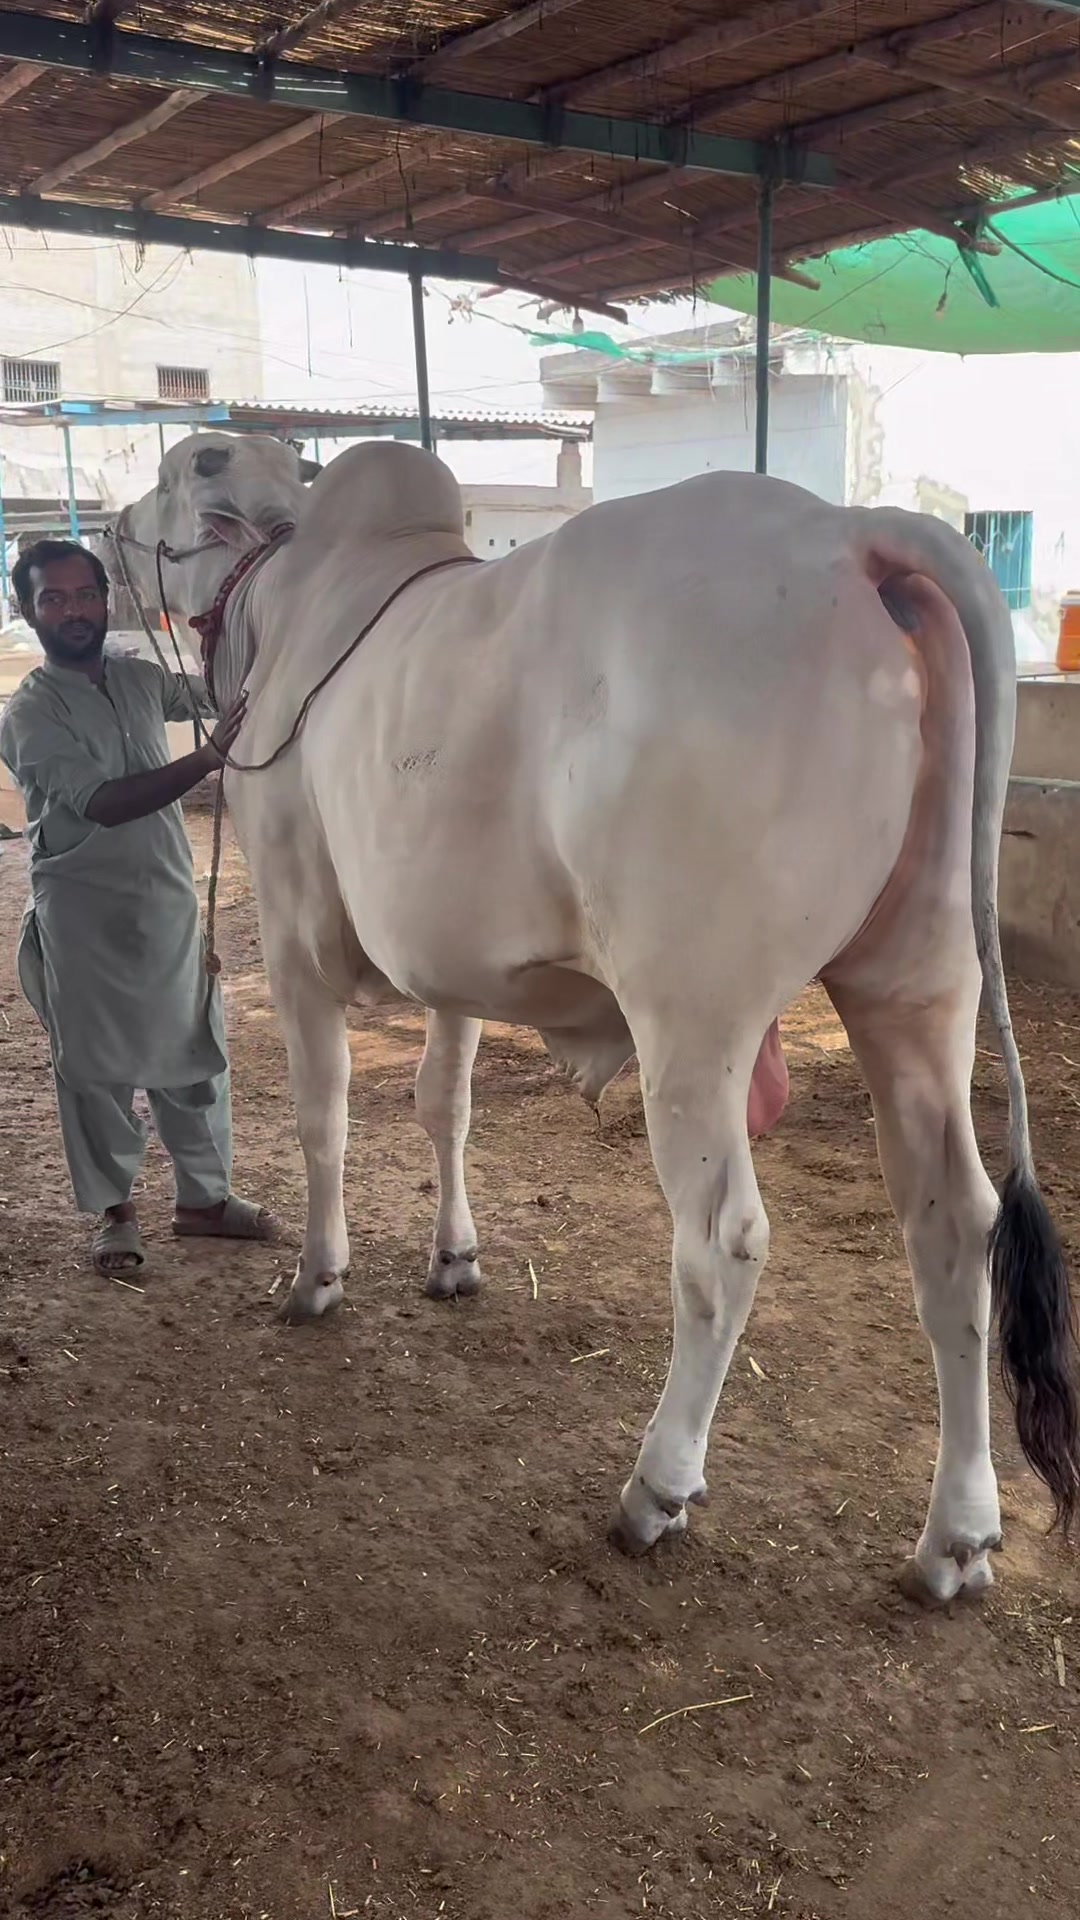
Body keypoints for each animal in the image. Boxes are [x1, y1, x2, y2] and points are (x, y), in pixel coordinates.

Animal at [110, 431, 1079, 1605]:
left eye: (174, 476)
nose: (104, 534)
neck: (284, 599)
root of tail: (854, 531)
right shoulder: (454, 968)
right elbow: (443, 1104)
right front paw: (453, 1259)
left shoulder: (297, 940)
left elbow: (322, 1119)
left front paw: (316, 1277)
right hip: (920, 983)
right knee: (956, 1226)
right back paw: (958, 1536)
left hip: (694, 1017)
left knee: (722, 1242)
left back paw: (656, 1489)